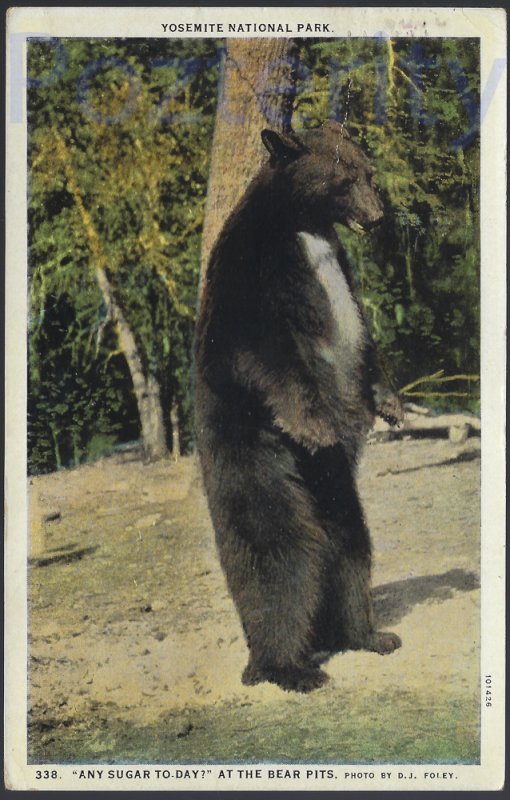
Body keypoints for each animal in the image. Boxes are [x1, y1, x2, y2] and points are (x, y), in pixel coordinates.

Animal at [194, 120, 402, 692]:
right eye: (344, 177)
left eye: (369, 172)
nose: (377, 215)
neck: (306, 226)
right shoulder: (255, 268)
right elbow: (260, 348)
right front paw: (317, 425)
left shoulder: (341, 272)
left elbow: (366, 339)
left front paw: (393, 405)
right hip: (260, 464)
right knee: (280, 556)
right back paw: (288, 667)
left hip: (336, 492)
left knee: (351, 551)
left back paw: (366, 636)